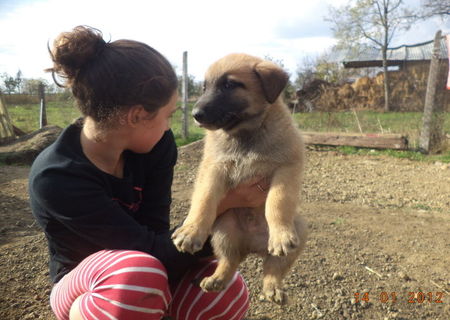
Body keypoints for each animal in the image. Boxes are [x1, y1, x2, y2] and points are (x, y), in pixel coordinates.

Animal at [171, 53, 306, 304]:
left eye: (229, 85)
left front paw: (280, 234)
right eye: (204, 87)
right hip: (224, 229)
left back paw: (273, 287)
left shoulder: (286, 168)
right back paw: (217, 279)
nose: (196, 115)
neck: (245, 133)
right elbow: (204, 200)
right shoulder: (213, 168)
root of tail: (252, 246)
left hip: (300, 229)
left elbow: (278, 201)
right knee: (230, 260)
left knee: (272, 267)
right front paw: (191, 231)